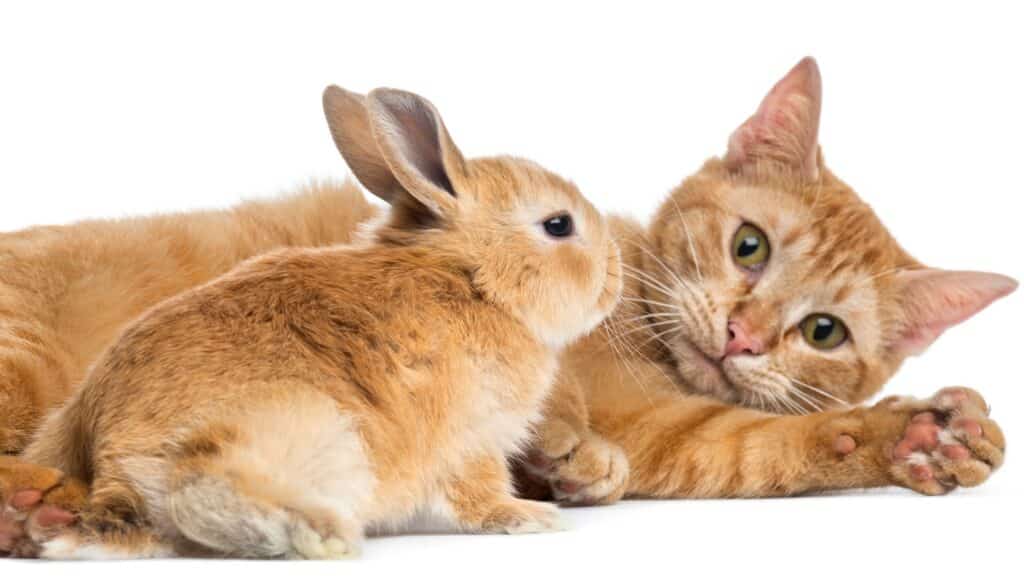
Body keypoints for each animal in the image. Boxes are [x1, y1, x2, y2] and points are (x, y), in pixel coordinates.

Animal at [0, 85, 622, 559]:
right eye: (559, 225)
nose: (615, 277)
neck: (473, 281)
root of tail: (111, 462)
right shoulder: (472, 439)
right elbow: (479, 493)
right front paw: (529, 516)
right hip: (313, 433)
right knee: (201, 486)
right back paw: (316, 534)